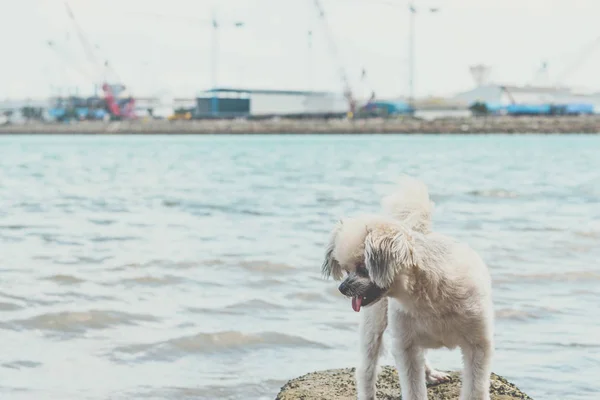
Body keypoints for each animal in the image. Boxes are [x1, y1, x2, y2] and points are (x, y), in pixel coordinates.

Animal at [322, 178, 494, 400]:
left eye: (363, 268)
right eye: (346, 270)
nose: (342, 288)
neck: (428, 294)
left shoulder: (478, 345)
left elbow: (475, 389)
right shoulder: (406, 348)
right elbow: (413, 389)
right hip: (375, 324)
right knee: (366, 370)